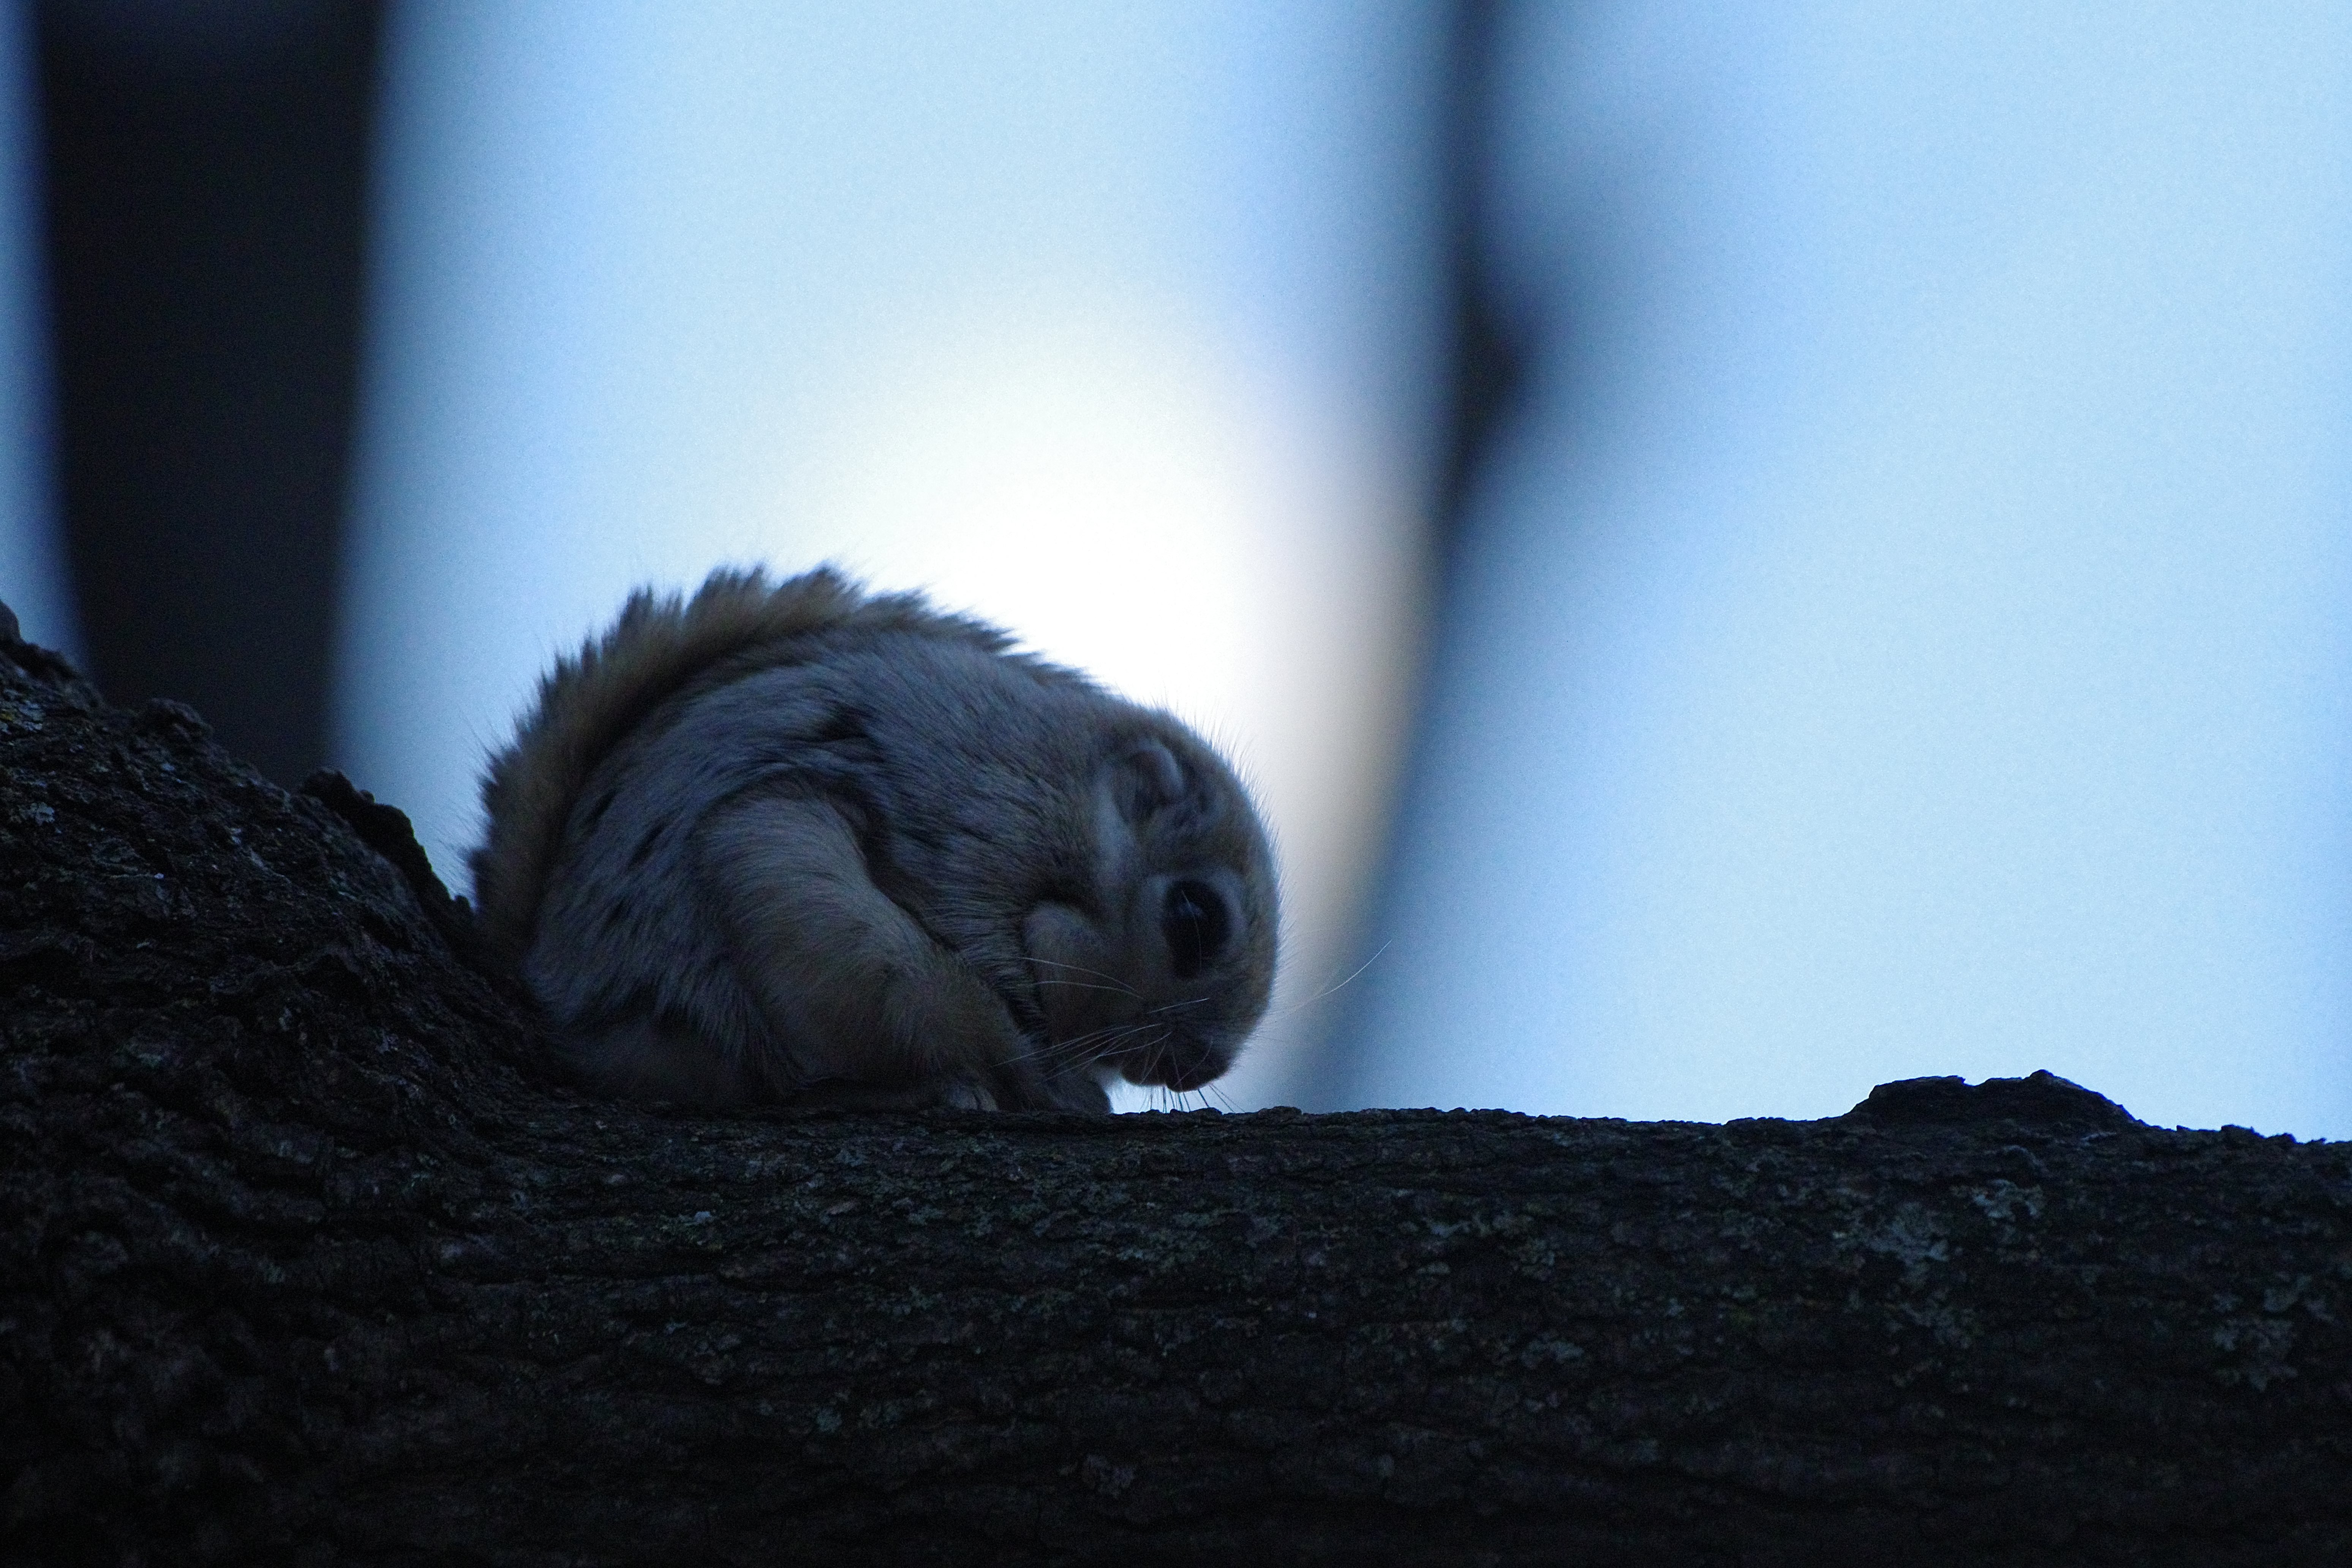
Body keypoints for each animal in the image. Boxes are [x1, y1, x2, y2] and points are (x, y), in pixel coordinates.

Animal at [469, 566, 1278, 1113]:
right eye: (1195, 918)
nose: (1200, 1068)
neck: (1076, 800)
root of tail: (556, 979)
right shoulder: (981, 823)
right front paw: (1061, 1076)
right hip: (804, 904)